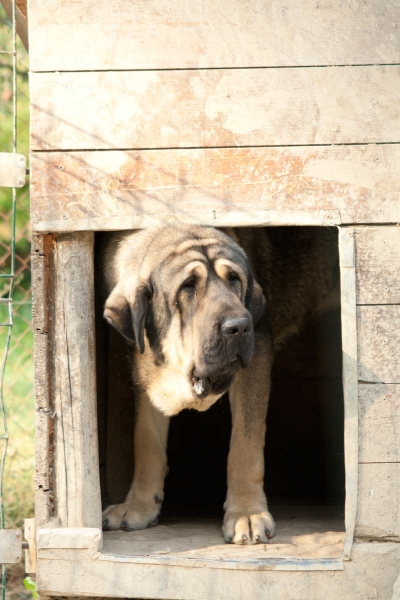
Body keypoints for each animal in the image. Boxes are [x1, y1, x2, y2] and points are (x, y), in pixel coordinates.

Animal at [99, 224, 338, 544]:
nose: (239, 326)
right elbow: (146, 440)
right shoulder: (142, 368)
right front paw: (138, 506)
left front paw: (247, 513)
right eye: (188, 286)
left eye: (234, 279)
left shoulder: (257, 357)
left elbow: (245, 446)